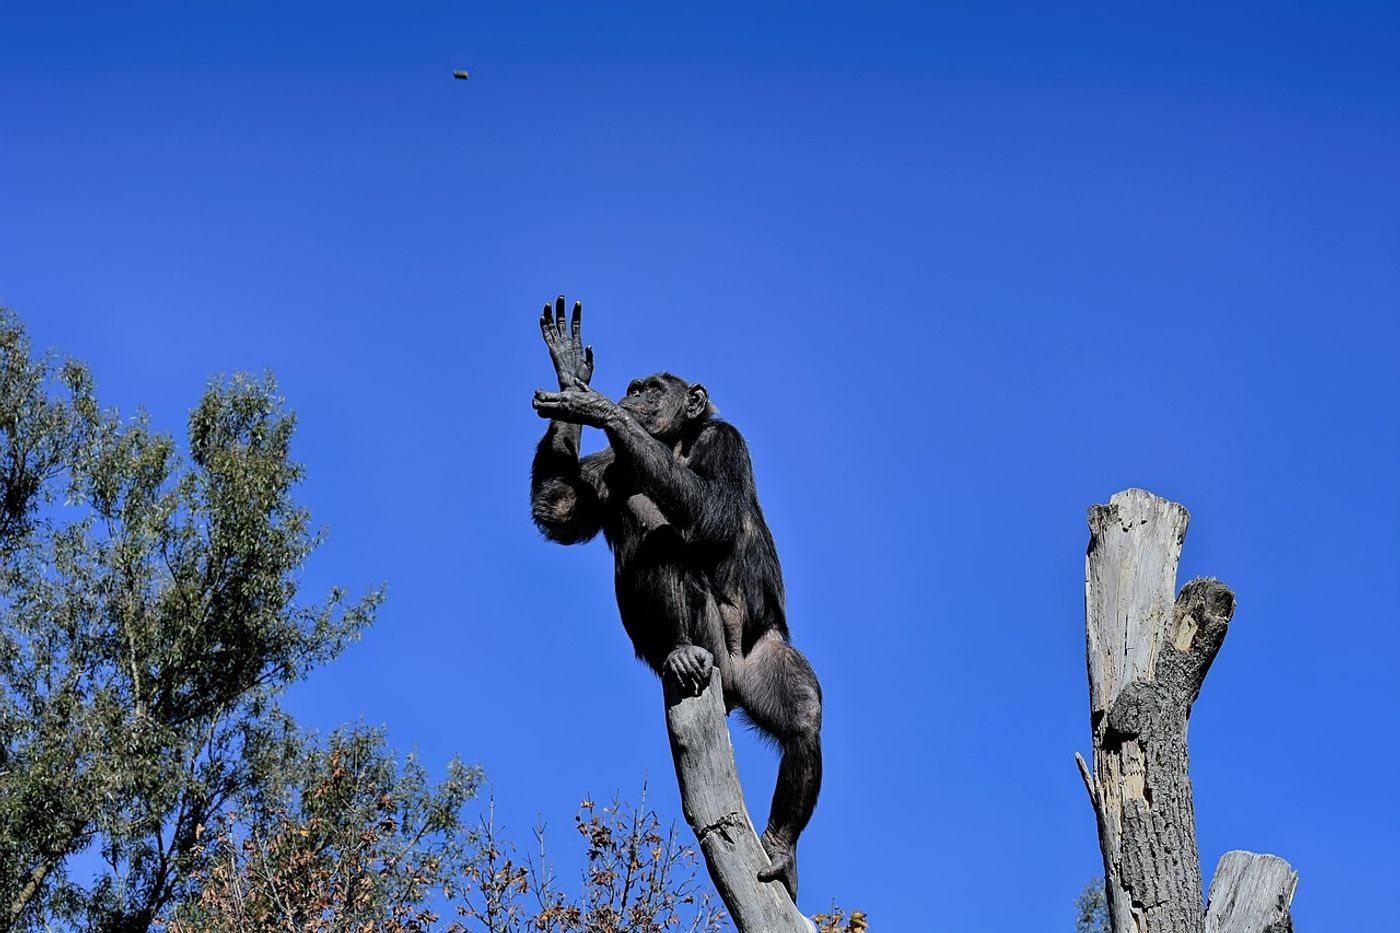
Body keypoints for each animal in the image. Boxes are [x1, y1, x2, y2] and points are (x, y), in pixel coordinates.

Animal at [532, 294, 817, 896]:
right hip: (709, 645)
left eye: (653, 388)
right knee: (652, 536)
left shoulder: (726, 441)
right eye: (637, 385)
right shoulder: (604, 468)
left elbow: (711, 508)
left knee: (804, 717)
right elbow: (560, 509)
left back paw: (781, 850)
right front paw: (571, 376)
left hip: (760, 661)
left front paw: (598, 408)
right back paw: (680, 651)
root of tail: (729, 685)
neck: (676, 443)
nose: (634, 397)